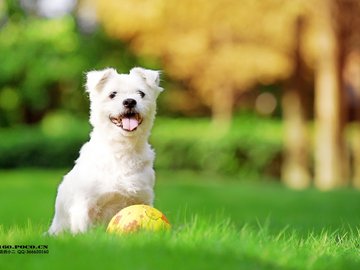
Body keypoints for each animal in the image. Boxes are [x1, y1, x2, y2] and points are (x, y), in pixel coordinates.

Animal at [47, 67, 163, 234]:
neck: (122, 150)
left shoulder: (142, 198)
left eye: (141, 93)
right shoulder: (85, 205)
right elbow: (84, 231)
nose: (129, 101)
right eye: (112, 94)